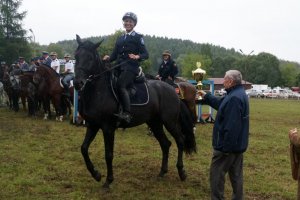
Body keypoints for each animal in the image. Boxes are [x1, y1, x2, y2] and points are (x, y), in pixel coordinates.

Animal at [73, 35, 197, 188]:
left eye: (90, 58)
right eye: (76, 56)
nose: (77, 83)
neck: (99, 91)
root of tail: (172, 90)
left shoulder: (108, 128)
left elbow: (108, 154)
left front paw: (108, 180)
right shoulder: (92, 125)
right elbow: (83, 148)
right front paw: (96, 174)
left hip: (170, 122)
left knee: (180, 140)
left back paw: (181, 172)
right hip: (155, 123)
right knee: (165, 144)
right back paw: (162, 172)